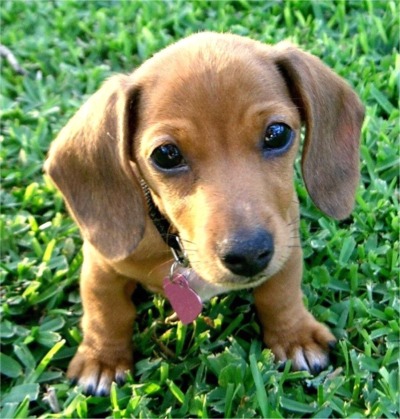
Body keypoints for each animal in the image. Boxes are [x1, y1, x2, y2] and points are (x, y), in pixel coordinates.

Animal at [45, 32, 364, 398]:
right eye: (166, 155)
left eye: (278, 133)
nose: (249, 254)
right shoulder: (101, 265)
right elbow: (105, 310)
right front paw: (102, 360)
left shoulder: (287, 239)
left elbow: (280, 293)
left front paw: (294, 335)